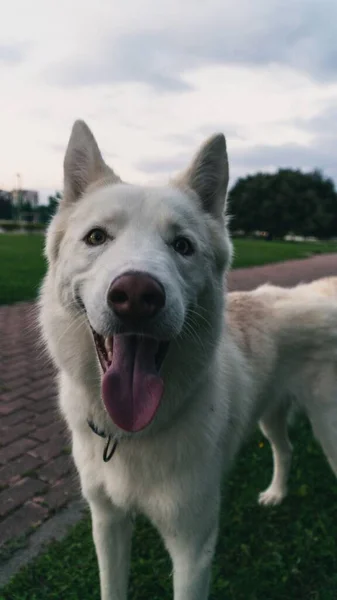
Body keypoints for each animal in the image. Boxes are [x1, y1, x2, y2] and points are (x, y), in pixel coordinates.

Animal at [38, 119, 336, 596]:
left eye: (182, 245)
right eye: (96, 238)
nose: (136, 296)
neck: (131, 434)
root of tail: (317, 292)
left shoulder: (193, 548)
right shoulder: (107, 525)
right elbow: (111, 586)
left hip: (329, 428)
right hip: (270, 416)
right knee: (286, 449)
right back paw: (275, 494)